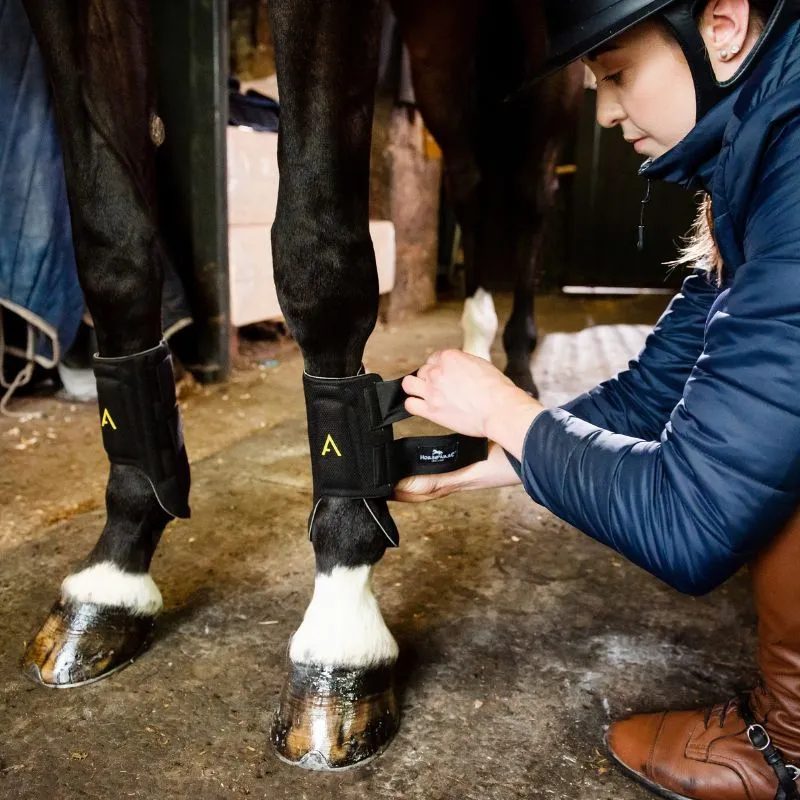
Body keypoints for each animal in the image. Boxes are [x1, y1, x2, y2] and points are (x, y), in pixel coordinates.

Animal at [17, 0, 580, 772]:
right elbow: (110, 247)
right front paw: (112, 576)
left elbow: (319, 258)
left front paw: (341, 628)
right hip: (442, 51)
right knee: (471, 181)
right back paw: (475, 349)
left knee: (530, 196)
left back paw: (517, 363)